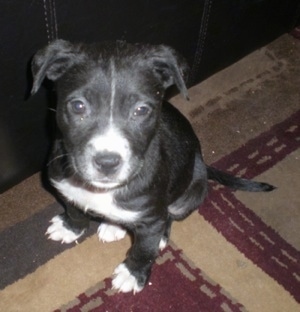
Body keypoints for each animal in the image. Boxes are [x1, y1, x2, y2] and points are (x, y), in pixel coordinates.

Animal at [31, 40, 274, 294]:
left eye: (141, 110)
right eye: (78, 106)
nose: (107, 162)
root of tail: (203, 163)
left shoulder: (152, 218)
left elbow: (144, 250)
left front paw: (133, 274)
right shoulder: (66, 187)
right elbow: (74, 209)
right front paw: (70, 227)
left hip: (188, 194)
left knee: (169, 217)